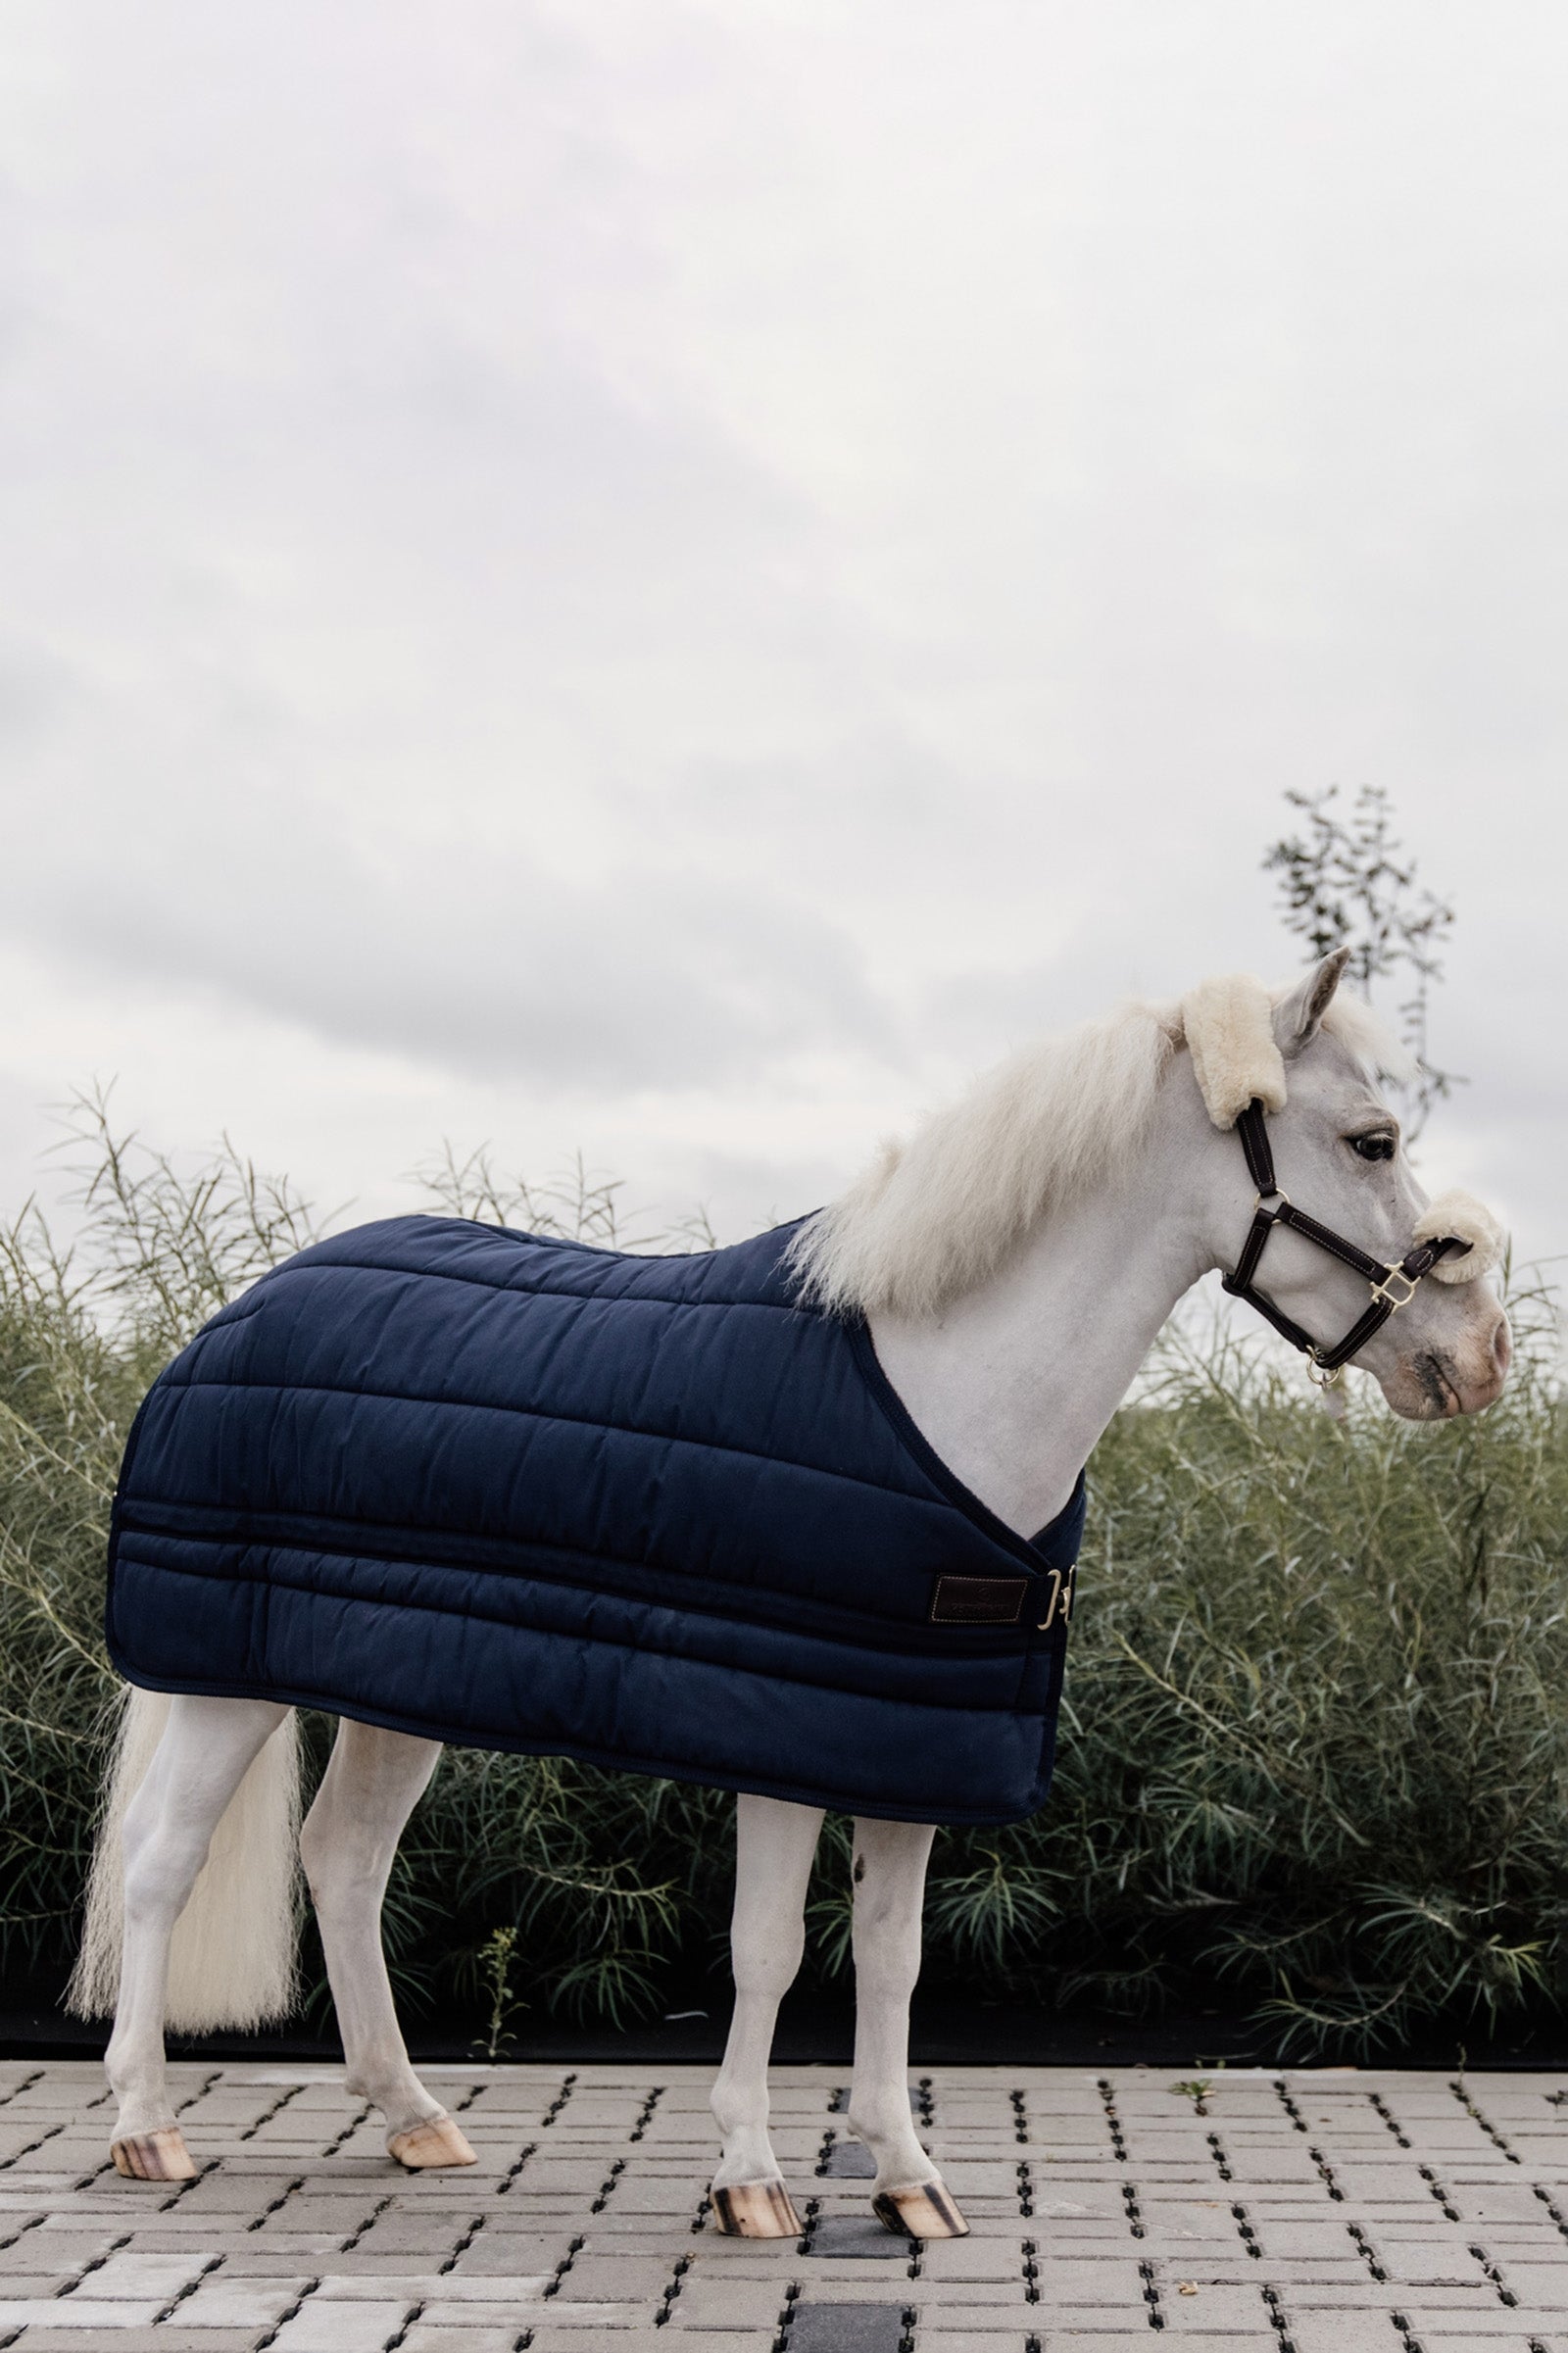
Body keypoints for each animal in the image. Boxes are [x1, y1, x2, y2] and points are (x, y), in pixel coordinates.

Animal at [71, 953, 1510, 2237]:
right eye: (1372, 1139)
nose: (1477, 1358)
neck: (934, 1387)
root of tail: (230, 1315)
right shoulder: (781, 1739)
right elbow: (767, 1949)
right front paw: (752, 2176)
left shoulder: (912, 1741)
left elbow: (891, 1952)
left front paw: (906, 2176)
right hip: (226, 1682)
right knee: (160, 1860)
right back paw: (146, 2126)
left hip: (392, 1688)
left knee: (345, 1861)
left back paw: (414, 2116)